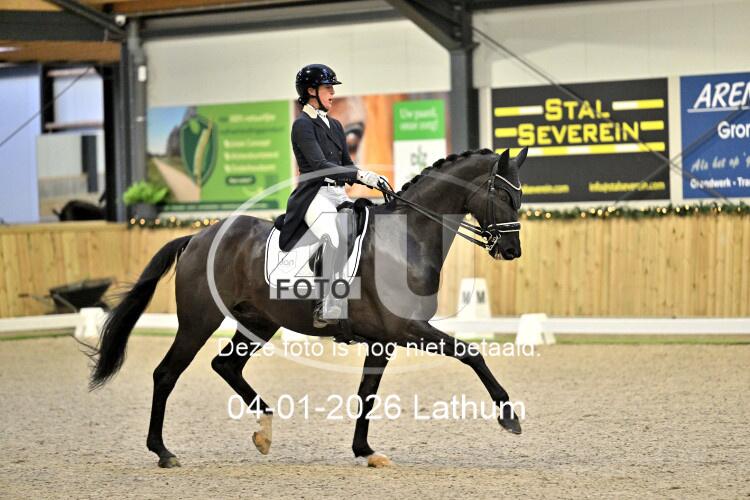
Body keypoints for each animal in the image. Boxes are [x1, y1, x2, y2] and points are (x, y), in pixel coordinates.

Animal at [89, 147, 527, 468]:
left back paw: (264, 431)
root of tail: (198, 236)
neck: (405, 238)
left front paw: (365, 451)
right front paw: (509, 417)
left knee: (225, 365)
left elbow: (367, 392)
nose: (511, 250)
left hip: (258, 322)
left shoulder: (384, 339)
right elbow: (471, 353)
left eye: (521, 196)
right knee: (166, 374)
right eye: (504, 195)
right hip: (199, 320)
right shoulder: (407, 328)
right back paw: (163, 452)